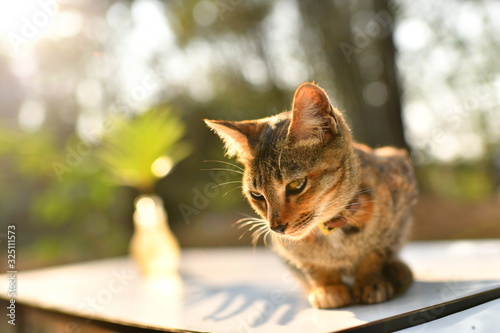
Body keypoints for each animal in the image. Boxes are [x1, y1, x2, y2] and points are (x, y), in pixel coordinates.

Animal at [204, 81, 418, 308]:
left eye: (296, 184)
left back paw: (398, 270)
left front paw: (370, 280)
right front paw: (328, 287)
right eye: (257, 195)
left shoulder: (400, 195)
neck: (333, 233)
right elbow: (311, 265)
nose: (276, 227)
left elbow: (379, 250)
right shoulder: (287, 248)